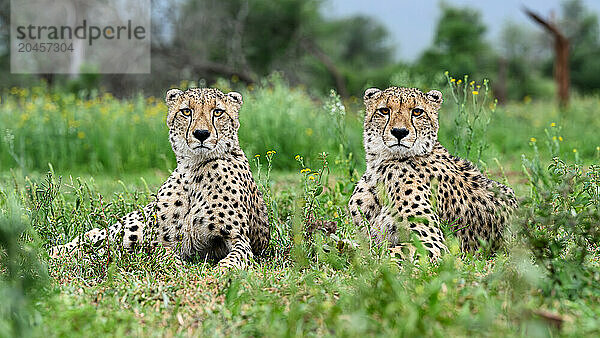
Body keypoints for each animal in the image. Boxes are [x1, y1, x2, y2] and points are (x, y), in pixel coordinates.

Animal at [50, 88, 270, 270]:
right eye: (186, 111)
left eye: (218, 112)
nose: (201, 134)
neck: (193, 170)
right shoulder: (158, 240)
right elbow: (160, 252)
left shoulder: (238, 238)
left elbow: (238, 256)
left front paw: (223, 270)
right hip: (132, 228)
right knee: (94, 237)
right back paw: (54, 251)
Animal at [350, 86, 516, 258]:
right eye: (384, 110)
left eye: (417, 112)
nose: (399, 132)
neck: (379, 166)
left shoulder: (433, 243)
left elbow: (385, 254)